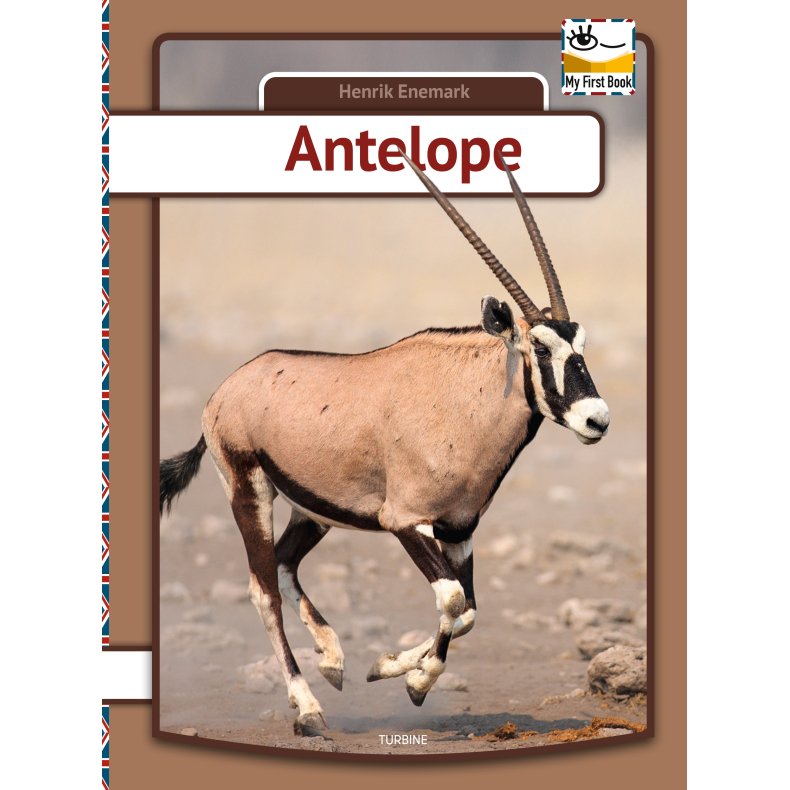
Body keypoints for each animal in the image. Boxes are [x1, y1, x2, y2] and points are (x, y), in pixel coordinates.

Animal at [160, 153, 610, 737]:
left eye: (580, 344)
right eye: (538, 346)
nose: (596, 418)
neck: (465, 398)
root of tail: (227, 388)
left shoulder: (459, 528)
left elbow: (467, 610)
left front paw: (395, 670)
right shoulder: (405, 521)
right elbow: (453, 598)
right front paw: (408, 675)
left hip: (314, 512)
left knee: (283, 563)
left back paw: (333, 659)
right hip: (248, 490)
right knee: (263, 589)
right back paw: (307, 706)